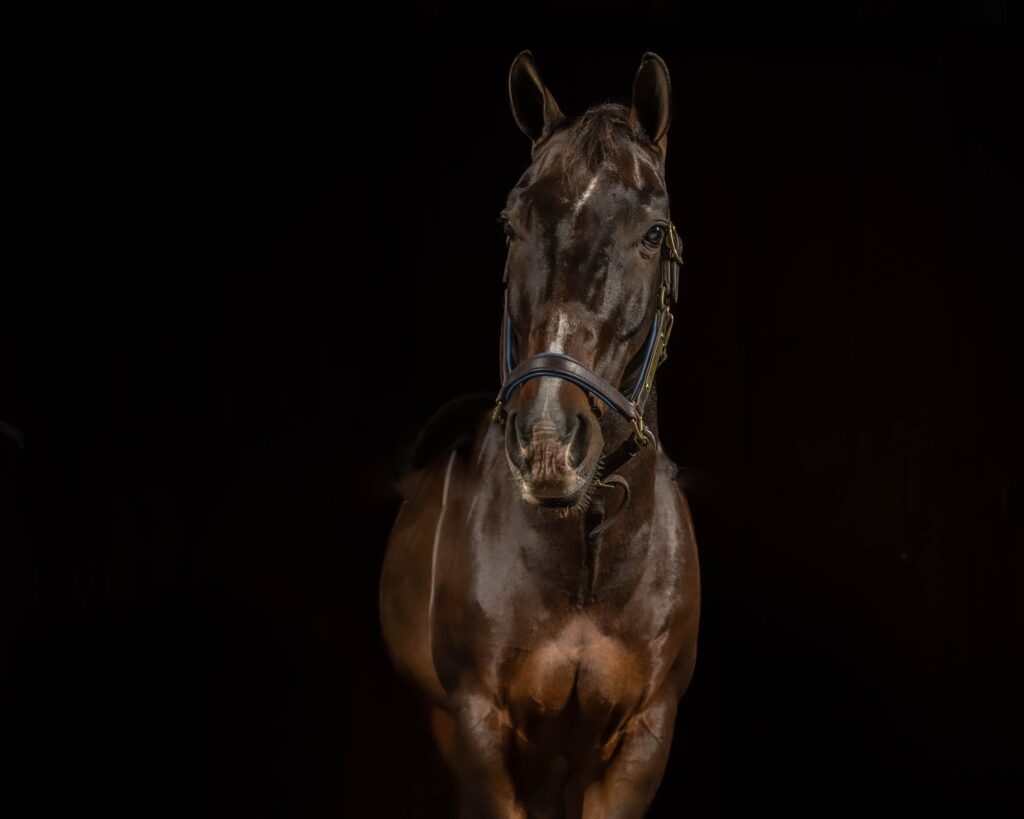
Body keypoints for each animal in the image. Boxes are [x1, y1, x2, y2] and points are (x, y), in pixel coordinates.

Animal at [380, 51, 700, 818]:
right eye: (511, 225)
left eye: (653, 232)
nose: (550, 441)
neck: (586, 548)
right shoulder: (480, 731)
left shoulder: (643, 739)